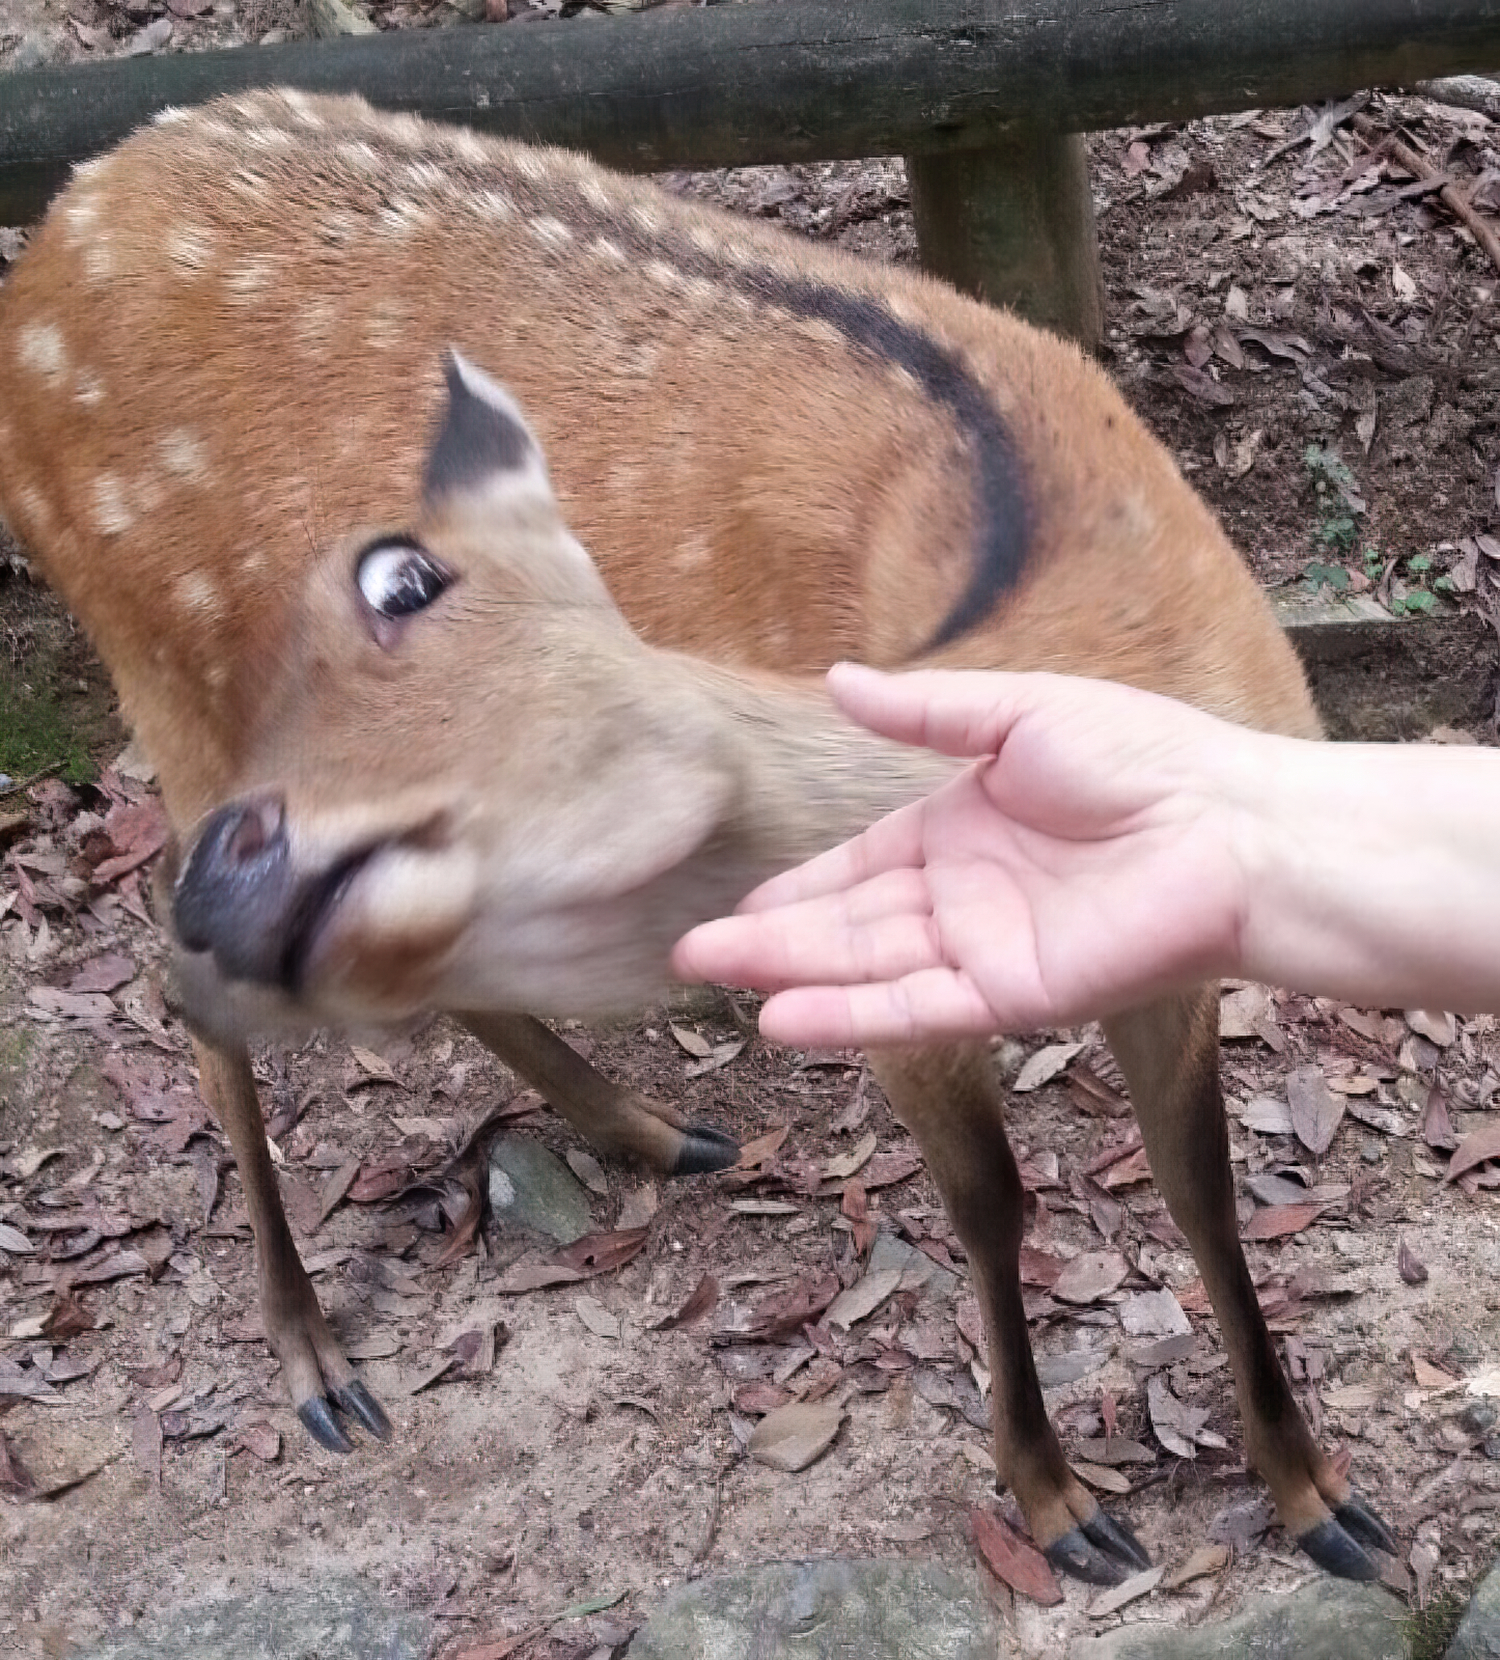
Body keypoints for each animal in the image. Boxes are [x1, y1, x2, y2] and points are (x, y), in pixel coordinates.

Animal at [0, 88, 1397, 1585]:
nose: (242, 884)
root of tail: (61, 228)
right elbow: (992, 1200)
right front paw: (1059, 1504)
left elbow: (1203, 1189)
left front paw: (1322, 1498)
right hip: (163, 675)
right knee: (186, 990)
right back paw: (316, 1356)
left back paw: (653, 1132)